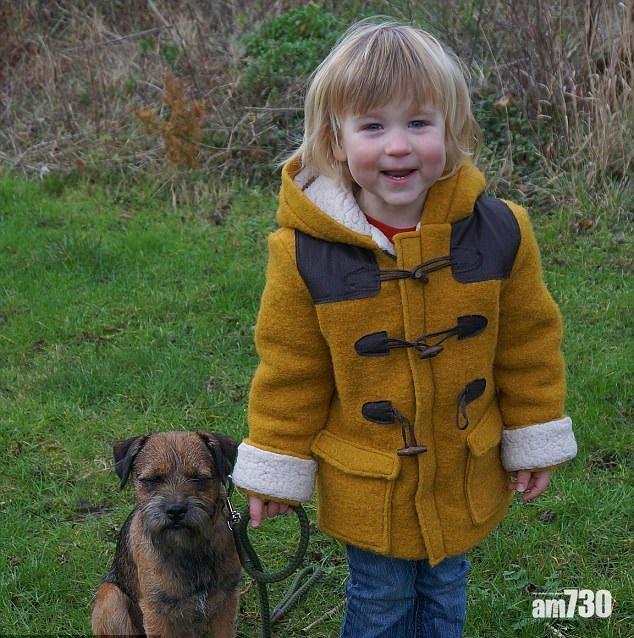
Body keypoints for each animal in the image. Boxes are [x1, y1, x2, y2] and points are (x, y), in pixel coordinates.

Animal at [91, 431, 241, 638]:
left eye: (198, 478)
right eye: (151, 480)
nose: (176, 510)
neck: (188, 548)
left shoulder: (226, 602)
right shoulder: (157, 613)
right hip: (111, 597)